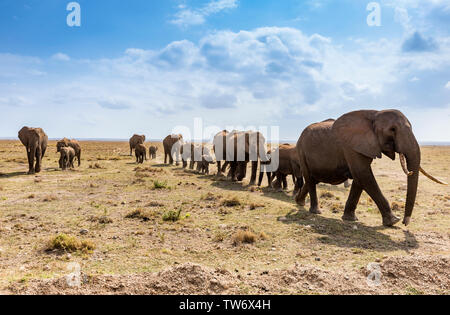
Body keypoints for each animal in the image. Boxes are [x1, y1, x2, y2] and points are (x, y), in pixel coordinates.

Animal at [294, 111, 444, 227]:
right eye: (392, 129)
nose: (405, 223)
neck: (374, 114)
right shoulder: (351, 147)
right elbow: (363, 174)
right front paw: (393, 221)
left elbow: (360, 178)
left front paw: (350, 219)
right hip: (301, 151)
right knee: (310, 179)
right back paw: (315, 212)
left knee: (313, 180)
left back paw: (298, 202)